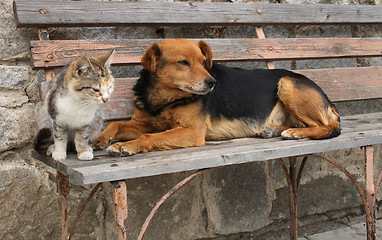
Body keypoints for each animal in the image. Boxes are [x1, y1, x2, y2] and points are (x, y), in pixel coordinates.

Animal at [92, 38, 340, 157]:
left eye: (204, 62)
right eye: (183, 62)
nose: (212, 83)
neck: (165, 98)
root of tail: (329, 101)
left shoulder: (192, 132)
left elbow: (149, 137)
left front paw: (128, 145)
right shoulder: (142, 122)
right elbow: (115, 125)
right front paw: (99, 139)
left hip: (287, 84)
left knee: (329, 127)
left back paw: (297, 133)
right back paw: (273, 130)